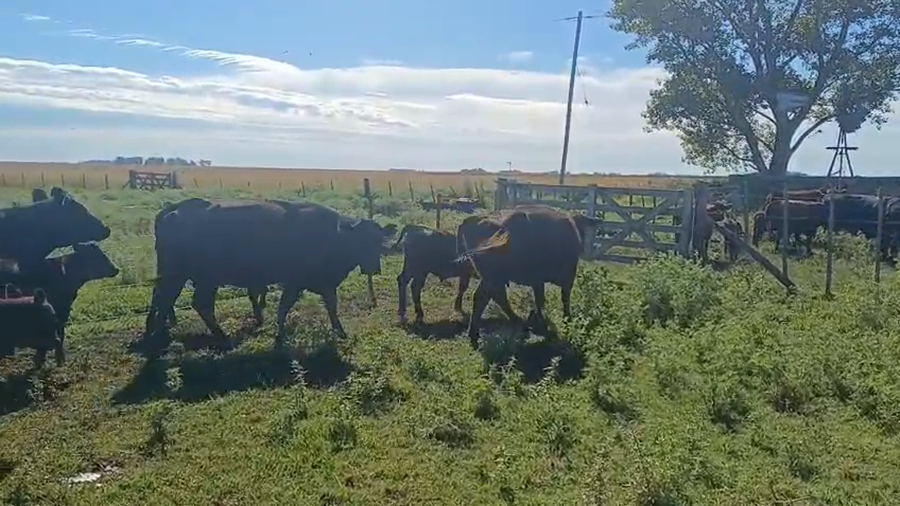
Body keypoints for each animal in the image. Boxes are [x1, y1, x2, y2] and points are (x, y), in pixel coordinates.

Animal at [143, 198, 397, 350]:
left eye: (378, 241)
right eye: (360, 240)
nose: (373, 268)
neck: (333, 235)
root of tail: (173, 212)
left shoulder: (324, 284)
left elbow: (331, 308)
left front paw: (340, 332)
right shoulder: (294, 282)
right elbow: (284, 308)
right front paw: (280, 336)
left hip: (194, 278)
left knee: (179, 301)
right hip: (185, 276)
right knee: (177, 301)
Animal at [455, 204, 602, 348]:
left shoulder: (537, 280)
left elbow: (540, 300)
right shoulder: (565, 278)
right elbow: (561, 300)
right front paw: (566, 320)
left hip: (493, 277)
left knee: (494, 297)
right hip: (494, 277)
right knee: (485, 297)